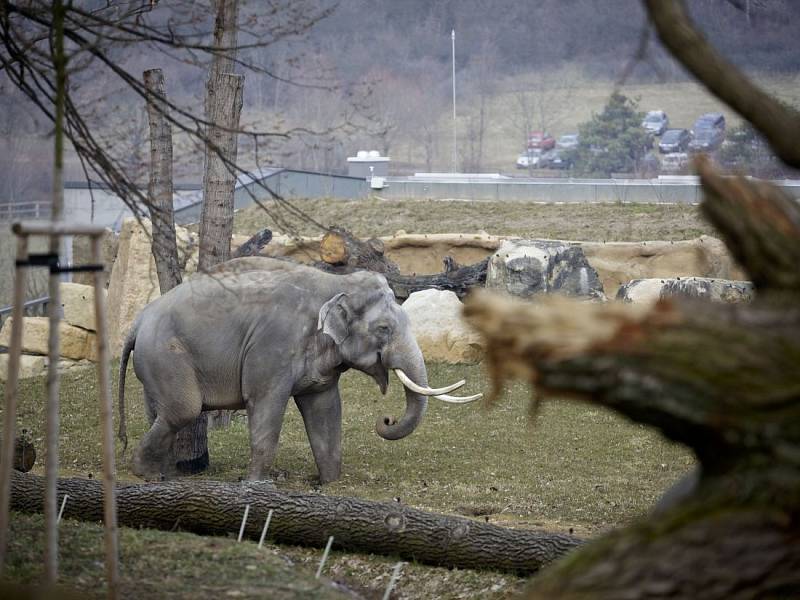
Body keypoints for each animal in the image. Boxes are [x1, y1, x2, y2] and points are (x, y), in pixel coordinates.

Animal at [117, 258, 482, 482]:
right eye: (383, 329)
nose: (386, 419)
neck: (335, 283)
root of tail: (138, 321)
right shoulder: (273, 345)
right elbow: (266, 404)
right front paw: (256, 484)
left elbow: (325, 409)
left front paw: (328, 482)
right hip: (167, 354)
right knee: (184, 410)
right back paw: (145, 473)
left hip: (157, 362)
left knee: (161, 412)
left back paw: (165, 473)